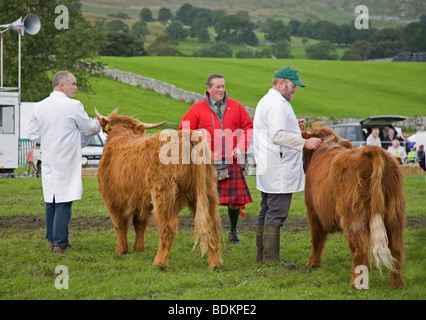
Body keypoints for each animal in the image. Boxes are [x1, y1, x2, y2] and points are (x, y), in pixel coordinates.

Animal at [95, 109, 223, 268]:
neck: (121, 136)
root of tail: (185, 135)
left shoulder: (111, 199)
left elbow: (120, 225)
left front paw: (121, 250)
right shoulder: (141, 200)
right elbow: (139, 224)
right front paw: (139, 249)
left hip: (163, 194)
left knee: (168, 226)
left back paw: (159, 262)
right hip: (207, 190)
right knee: (212, 223)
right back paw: (215, 263)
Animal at [302, 122, 404, 288]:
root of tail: (371, 150)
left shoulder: (313, 211)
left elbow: (316, 238)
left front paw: (313, 263)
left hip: (353, 215)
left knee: (359, 247)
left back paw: (356, 284)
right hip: (393, 214)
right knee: (396, 248)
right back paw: (397, 284)